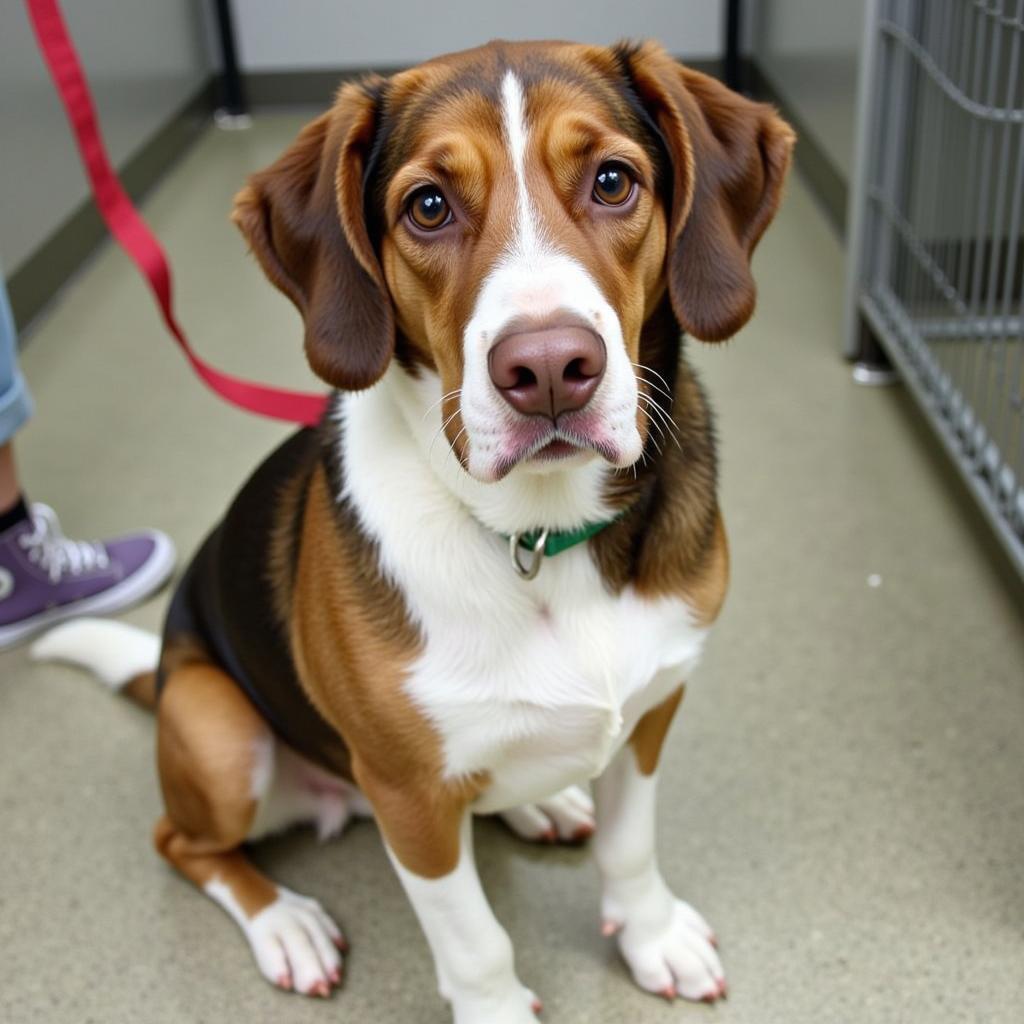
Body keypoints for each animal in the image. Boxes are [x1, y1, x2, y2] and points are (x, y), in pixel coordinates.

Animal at [34, 39, 790, 1024]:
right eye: (428, 206)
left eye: (613, 181)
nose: (550, 369)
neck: (541, 536)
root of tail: (165, 672)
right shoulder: (409, 797)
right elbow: (474, 940)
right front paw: (499, 1006)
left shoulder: (653, 709)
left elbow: (630, 846)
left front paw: (651, 936)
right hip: (216, 730)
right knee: (183, 842)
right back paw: (285, 923)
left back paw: (539, 804)